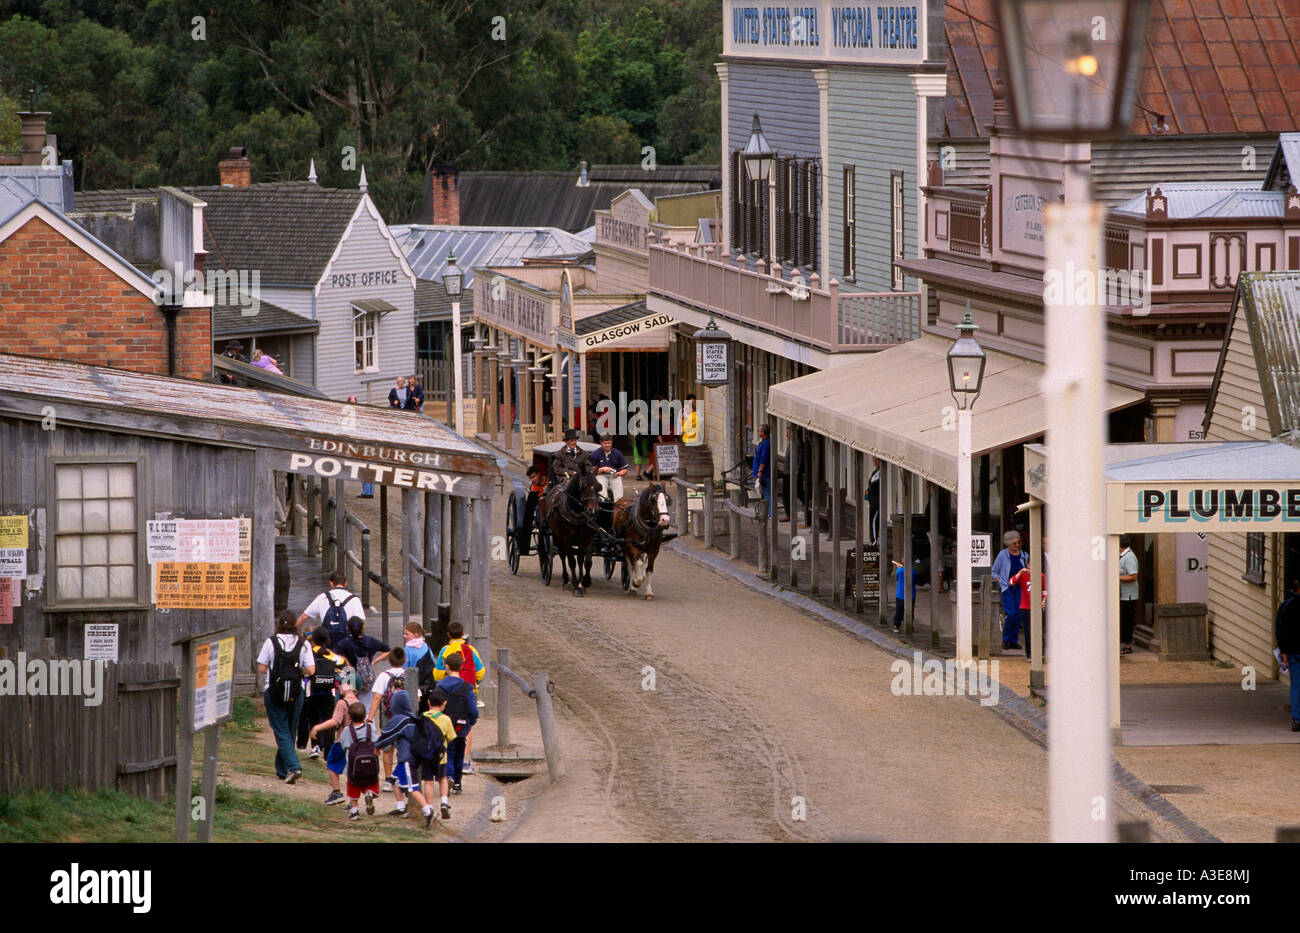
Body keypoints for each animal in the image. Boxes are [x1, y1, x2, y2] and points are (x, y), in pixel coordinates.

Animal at [538, 467, 598, 600]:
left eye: (598, 486)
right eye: (583, 487)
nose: (594, 511)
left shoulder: (588, 538)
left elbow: (587, 562)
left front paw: (585, 581)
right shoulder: (565, 538)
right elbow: (571, 561)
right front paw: (576, 587)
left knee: (579, 558)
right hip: (557, 536)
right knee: (562, 556)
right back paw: (566, 580)